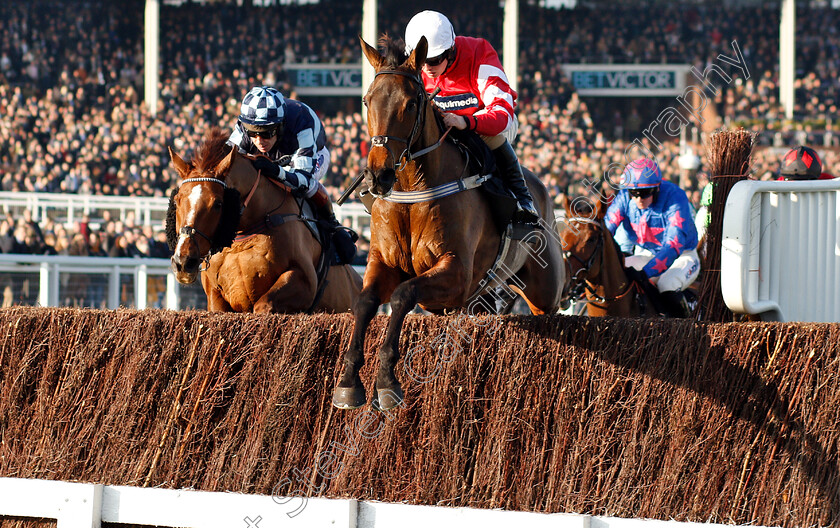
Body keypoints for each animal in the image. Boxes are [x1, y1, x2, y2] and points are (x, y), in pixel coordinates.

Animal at [165, 128, 360, 314]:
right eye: (177, 200)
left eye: (218, 204)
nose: (184, 262)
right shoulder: (215, 297)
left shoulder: (305, 281)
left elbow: (263, 306)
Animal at [332, 36, 568, 412]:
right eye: (367, 100)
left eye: (411, 103)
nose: (378, 175)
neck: (413, 191)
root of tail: (544, 191)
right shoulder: (383, 261)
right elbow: (366, 301)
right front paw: (348, 382)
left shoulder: (456, 273)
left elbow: (403, 294)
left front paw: (386, 381)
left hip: (544, 290)